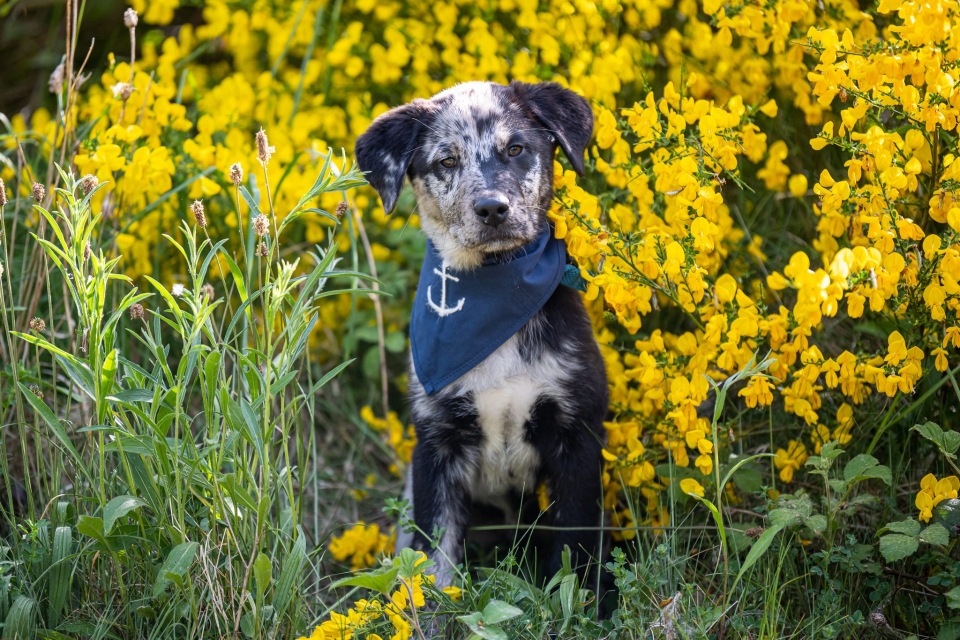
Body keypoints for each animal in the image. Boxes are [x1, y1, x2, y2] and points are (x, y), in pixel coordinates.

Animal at [352, 81, 608, 592]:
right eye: (447, 161)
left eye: (517, 149)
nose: (492, 209)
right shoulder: (436, 443)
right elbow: (434, 556)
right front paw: (431, 608)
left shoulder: (577, 433)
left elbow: (575, 549)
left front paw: (586, 603)